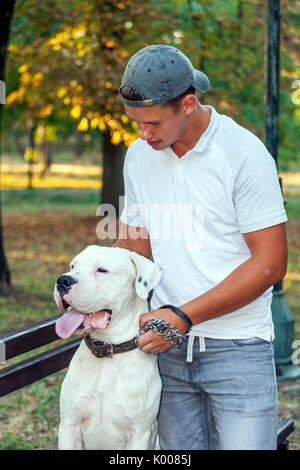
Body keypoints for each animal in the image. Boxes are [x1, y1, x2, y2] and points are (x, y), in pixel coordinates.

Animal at [52, 244, 163, 450]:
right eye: (73, 266)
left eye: (102, 270)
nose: (63, 280)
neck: (108, 348)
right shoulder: (69, 427)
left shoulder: (140, 434)